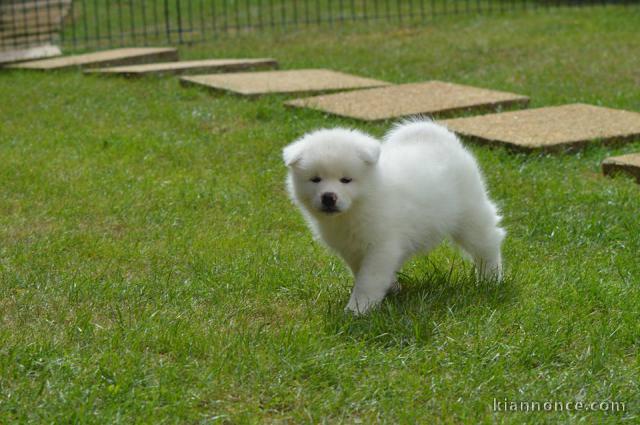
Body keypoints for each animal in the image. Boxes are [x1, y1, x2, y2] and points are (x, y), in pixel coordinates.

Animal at [284, 119, 504, 314]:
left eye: (346, 180)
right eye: (315, 179)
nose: (329, 197)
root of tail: (441, 138)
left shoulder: (381, 246)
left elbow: (368, 280)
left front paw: (357, 309)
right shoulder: (351, 249)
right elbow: (362, 271)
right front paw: (391, 288)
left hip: (470, 215)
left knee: (487, 244)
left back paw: (491, 278)